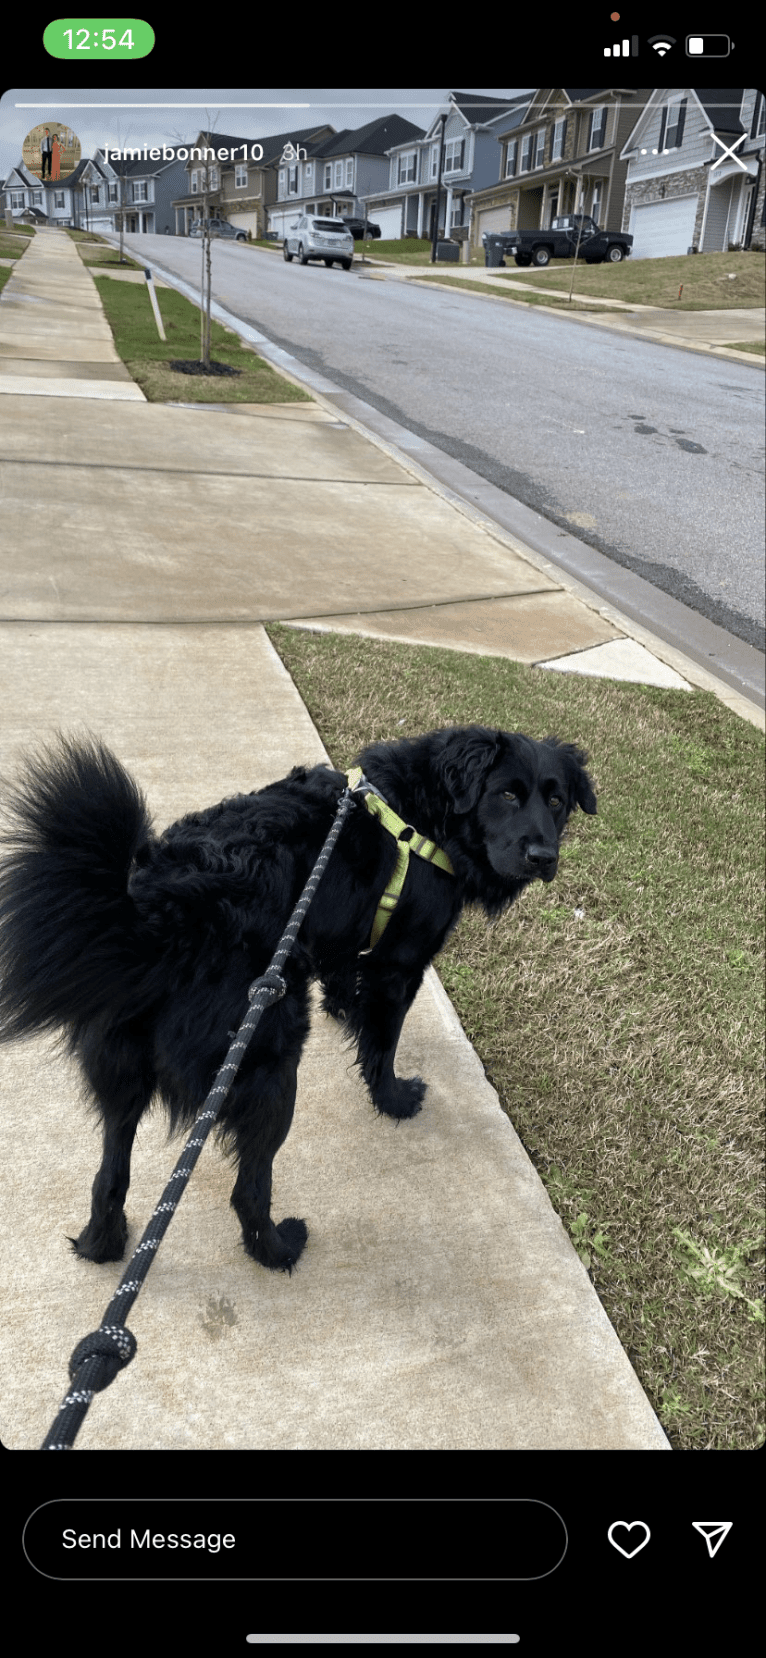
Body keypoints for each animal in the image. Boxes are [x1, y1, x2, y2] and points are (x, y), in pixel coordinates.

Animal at [0, 722, 596, 1266]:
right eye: (507, 794)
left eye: (557, 801)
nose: (544, 856)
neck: (428, 809)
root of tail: (160, 917)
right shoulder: (399, 965)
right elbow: (383, 1044)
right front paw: (393, 1098)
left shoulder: (346, 944)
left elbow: (348, 990)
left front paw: (344, 1011)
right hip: (272, 1061)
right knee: (248, 1188)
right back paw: (277, 1248)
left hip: (122, 1071)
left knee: (109, 1172)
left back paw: (103, 1243)